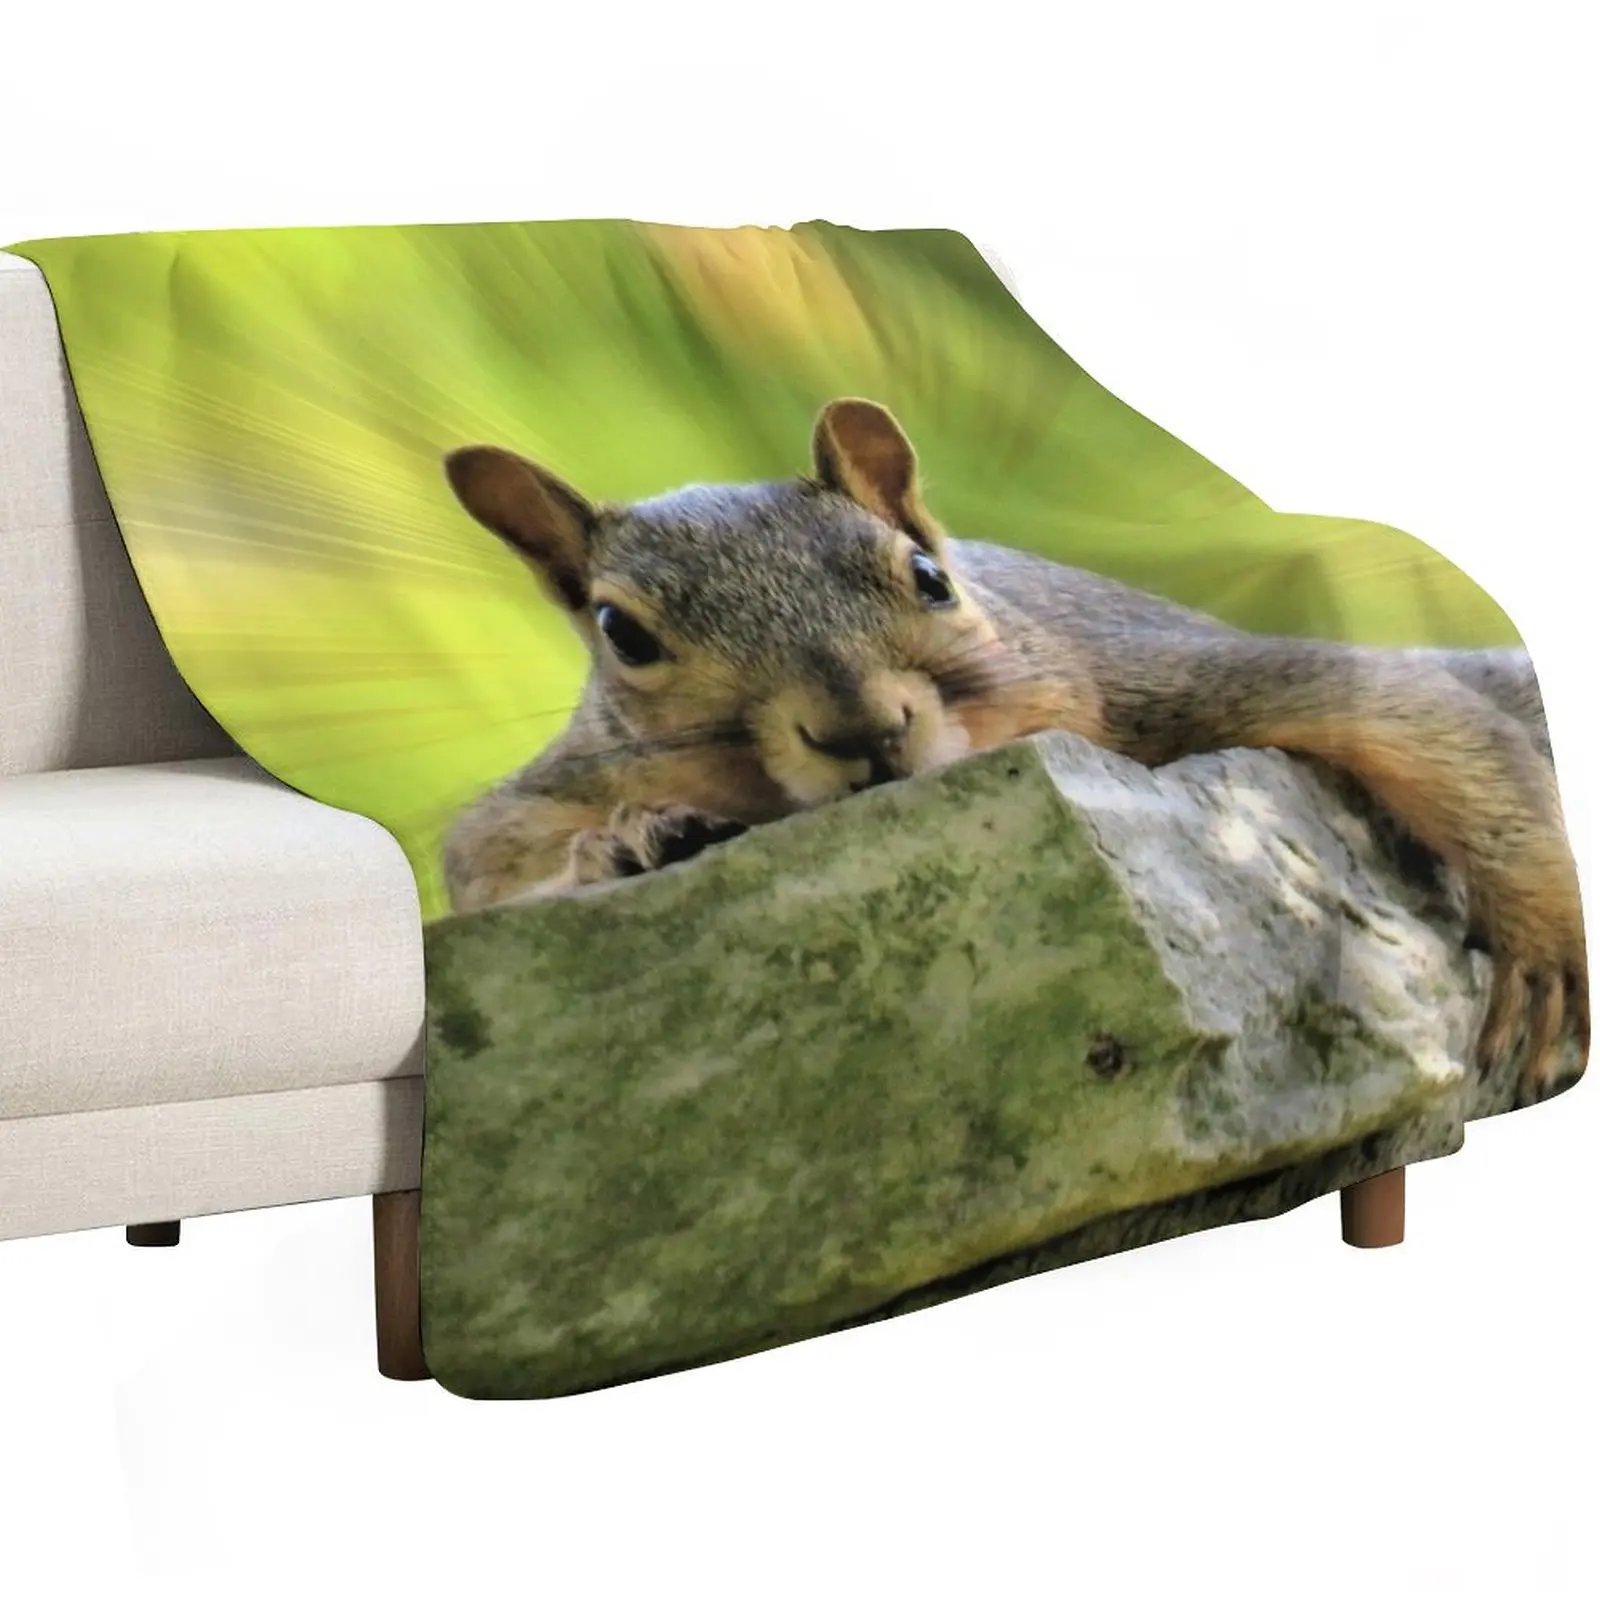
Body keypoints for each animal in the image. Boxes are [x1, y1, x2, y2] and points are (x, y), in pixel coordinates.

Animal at [440, 397, 1588, 1107]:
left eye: (926, 576)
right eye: (620, 633)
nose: (863, 731)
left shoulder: (1147, 677)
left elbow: (1423, 723)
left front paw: (1542, 949)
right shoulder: (550, 788)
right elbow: (484, 864)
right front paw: (631, 842)